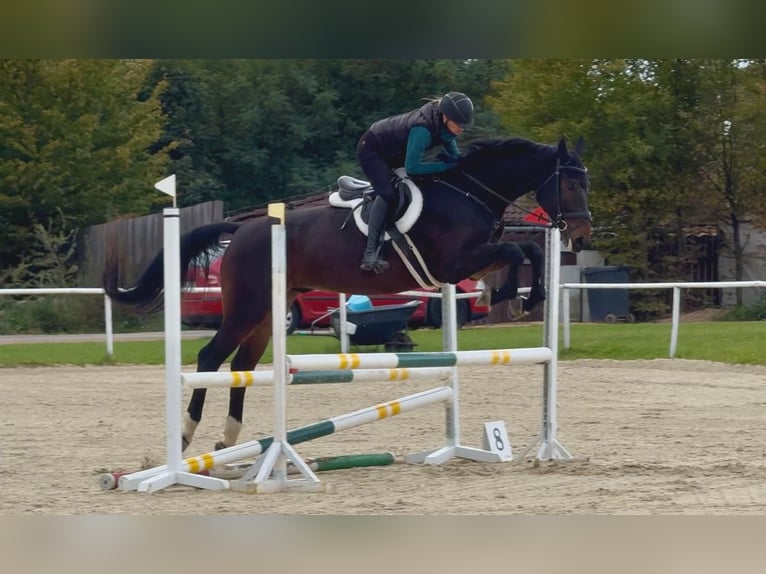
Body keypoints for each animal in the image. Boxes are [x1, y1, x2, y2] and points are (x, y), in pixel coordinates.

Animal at [103, 135, 592, 452]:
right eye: (570, 184)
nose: (582, 235)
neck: (468, 191)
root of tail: (242, 230)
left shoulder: (468, 262)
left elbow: (527, 248)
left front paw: (515, 295)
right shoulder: (452, 265)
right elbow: (518, 248)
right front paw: (517, 296)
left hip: (268, 314)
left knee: (242, 365)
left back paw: (229, 437)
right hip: (248, 307)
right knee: (210, 357)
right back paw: (188, 435)